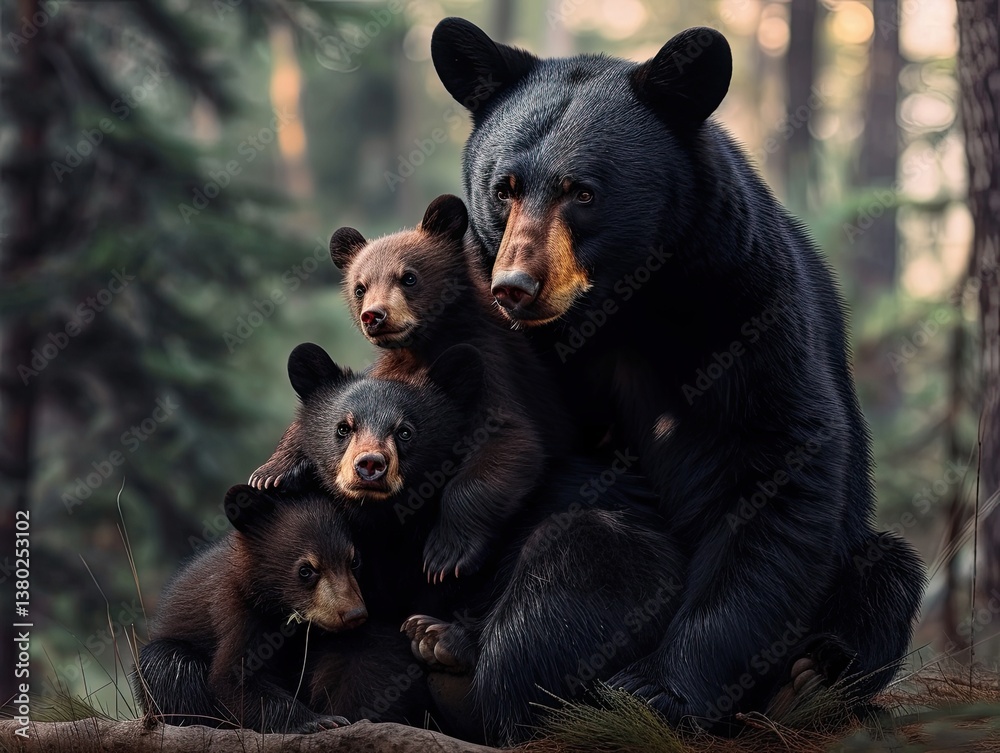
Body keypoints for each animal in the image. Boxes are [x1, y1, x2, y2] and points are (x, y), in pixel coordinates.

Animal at [132, 484, 426, 732]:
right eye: (306, 570)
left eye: (354, 560)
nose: (354, 614)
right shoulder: (238, 610)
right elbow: (236, 677)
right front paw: (318, 720)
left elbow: (370, 659)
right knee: (169, 664)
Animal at [249, 194, 570, 584]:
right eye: (360, 287)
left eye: (409, 277)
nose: (373, 315)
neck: (424, 345)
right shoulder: (388, 366)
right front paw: (272, 472)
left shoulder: (491, 368)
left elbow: (510, 440)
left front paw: (446, 554)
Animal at [429, 17, 926, 731]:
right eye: (505, 188)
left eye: (583, 192)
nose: (516, 287)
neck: (620, 307)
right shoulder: (494, 330)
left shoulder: (743, 303)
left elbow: (776, 471)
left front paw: (656, 687)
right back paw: (458, 652)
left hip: (860, 566)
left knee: (886, 575)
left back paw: (806, 679)